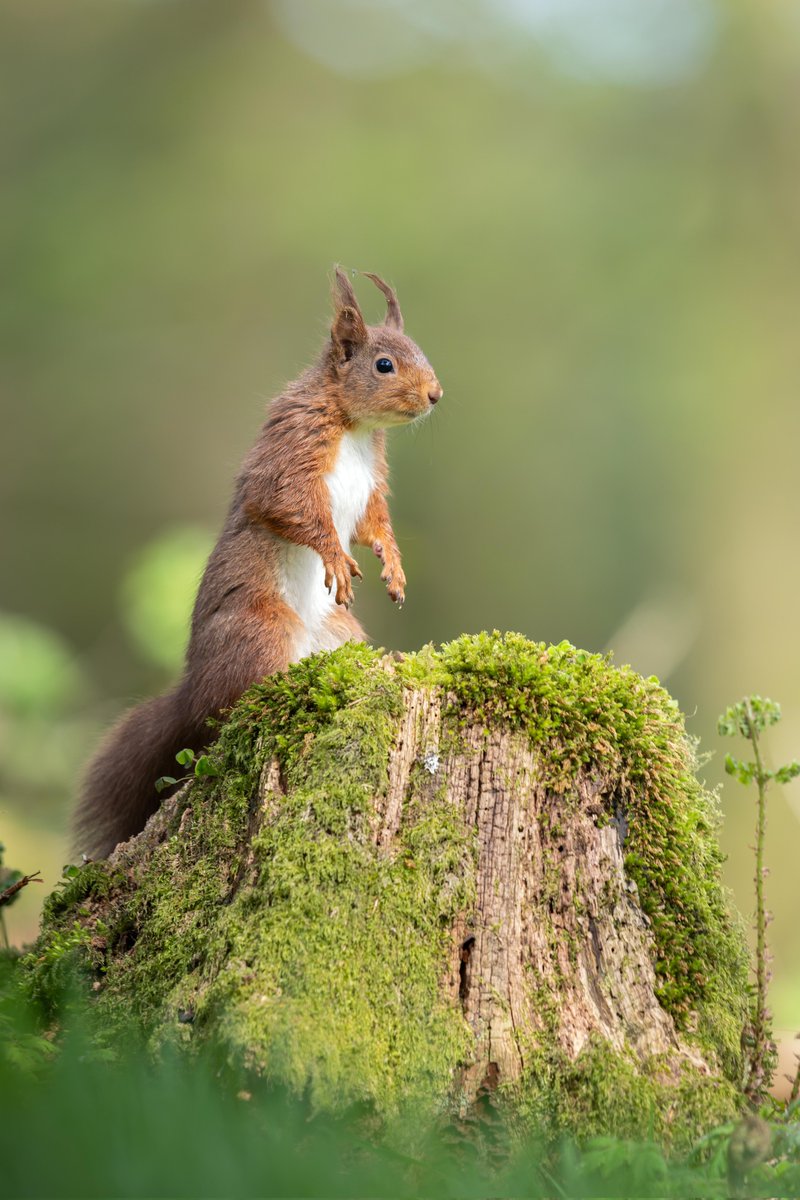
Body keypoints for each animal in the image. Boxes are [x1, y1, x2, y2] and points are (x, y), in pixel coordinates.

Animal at [74, 268, 443, 859]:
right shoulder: (291, 454)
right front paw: (336, 557)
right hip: (261, 630)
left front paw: (394, 564)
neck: (356, 427)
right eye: (384, 364)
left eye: (421, 352)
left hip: (339, 637)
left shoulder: (371, 485)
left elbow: (374, 524)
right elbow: (287, 506)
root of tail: (191, 692)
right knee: (226, 714)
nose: (435, 394)